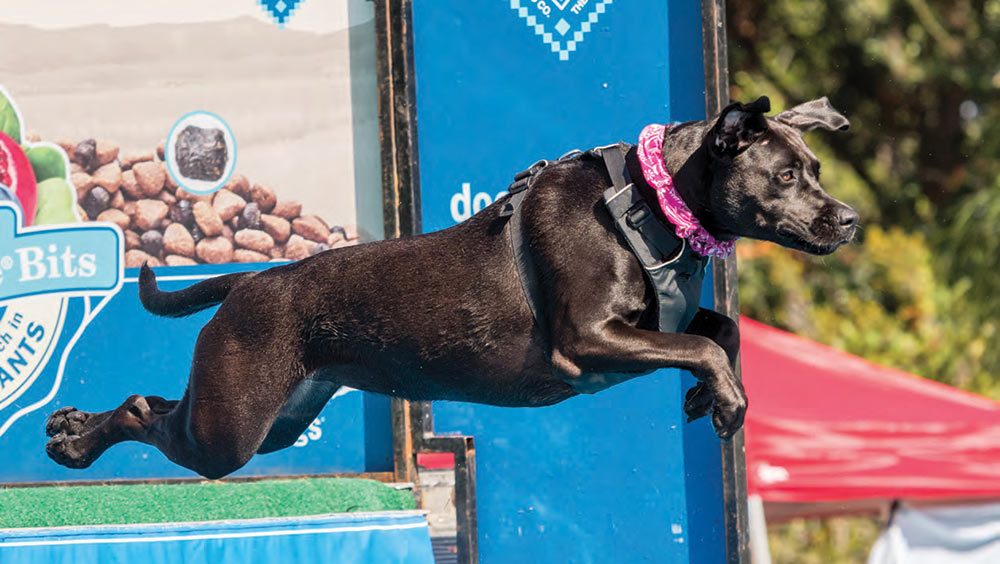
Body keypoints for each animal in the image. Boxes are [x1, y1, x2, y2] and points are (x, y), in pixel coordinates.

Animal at [47, 96, 856, 476]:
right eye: (787, 175)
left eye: (815, 168)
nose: (847, 218)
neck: (655, 203)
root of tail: (250, 282)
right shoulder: (587, 340)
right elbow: (704, 344)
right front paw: (727, 403)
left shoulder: (648, 329)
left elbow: (719, 330)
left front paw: (707, 397)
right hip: (232, 430)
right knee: (143, 413)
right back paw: (74, 445)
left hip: (271, 420)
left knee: (155, 407)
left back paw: (68, 430)